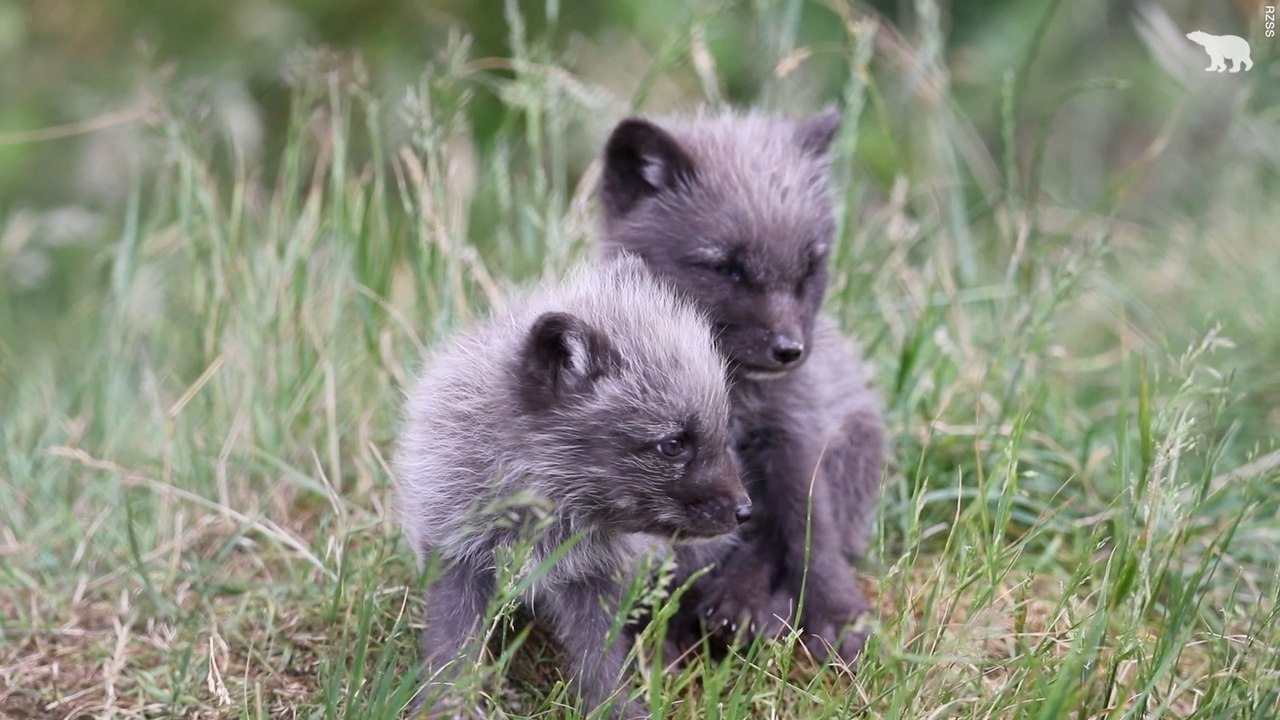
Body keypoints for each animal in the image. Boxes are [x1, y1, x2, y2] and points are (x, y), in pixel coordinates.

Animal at [393, 254, 752, 718]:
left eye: (719, 432)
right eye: (672, 445)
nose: (746, 510)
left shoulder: (592, 579)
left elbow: (602, 663)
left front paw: (618, 711)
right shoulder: (457, 556)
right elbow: (451, 651)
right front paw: (444, 706)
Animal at [598, 110, 885, 663]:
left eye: (810, 266)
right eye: (725, 266)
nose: (790, 350)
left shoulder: (792, 436)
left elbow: (809, 532)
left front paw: (840, 616)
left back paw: (742, 606)